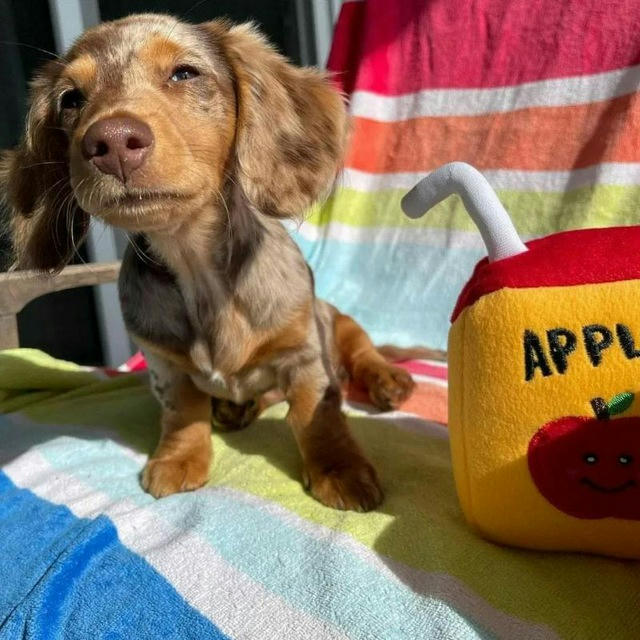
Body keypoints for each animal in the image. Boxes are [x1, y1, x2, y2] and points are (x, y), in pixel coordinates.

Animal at [1, 15, 420, 512]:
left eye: (185, 73)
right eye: (70, 99)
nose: (112, 141)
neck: (196, 266)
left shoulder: (304, 355)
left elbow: (316, 414)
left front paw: (340, 469)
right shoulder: (164, 363)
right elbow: (183, 412)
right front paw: (179, 458)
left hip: (338, 320)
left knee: (362, 351)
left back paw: (386, 378)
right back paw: (238, 408)